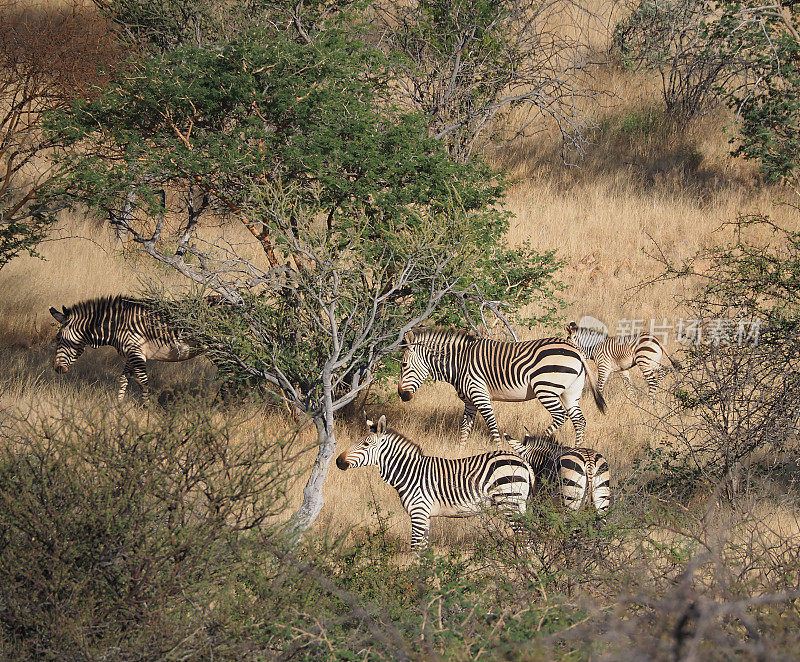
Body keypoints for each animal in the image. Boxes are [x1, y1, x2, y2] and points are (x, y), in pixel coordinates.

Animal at [49, 298, 202, 402]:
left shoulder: (136, 354)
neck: (118, 326)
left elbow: (143, 383)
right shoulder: (131, 355)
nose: (57, 368)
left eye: (58, 337)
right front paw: (118, 406)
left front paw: (146, 411)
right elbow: (123, 378)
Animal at [334, 416, 536, 548]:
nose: (338, 461)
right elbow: (424, 551)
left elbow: (415, 549)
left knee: (524, 537)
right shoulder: (426, 515)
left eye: (366, 444)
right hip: (519, 504)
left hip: (509, 502)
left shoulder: (418, 512)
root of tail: (523, 461)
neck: (409, 472)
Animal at [394, 330, 608, 448]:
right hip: (570, 392)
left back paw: (536, 440)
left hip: (546, 388)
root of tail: (577, 351)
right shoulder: (470, 401)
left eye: (403, 365)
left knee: (560, 416)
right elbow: (465, 428)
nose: (401, 395)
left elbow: (492, 425)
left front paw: (499, 450)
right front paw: (460, 451)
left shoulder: (480, 395)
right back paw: (577, 449)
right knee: (579, 421)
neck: (459, 363)